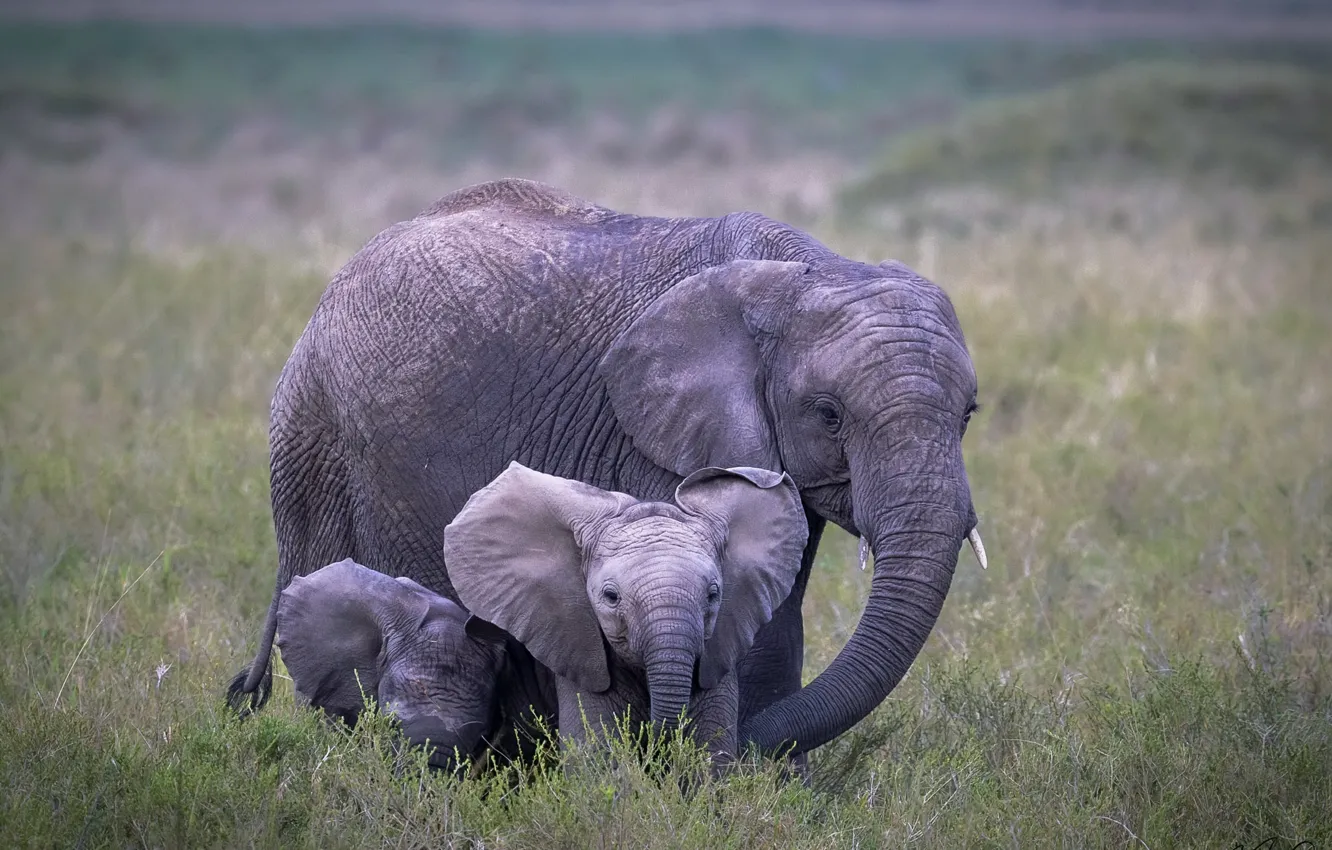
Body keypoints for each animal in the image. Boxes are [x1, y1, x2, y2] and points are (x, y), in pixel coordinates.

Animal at [443, 462, 809, 762]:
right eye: (611, 597)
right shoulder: (580, 648)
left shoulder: (716, 654)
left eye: (712, 595)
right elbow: (600, 760)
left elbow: (710, 760)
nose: (656, 745)